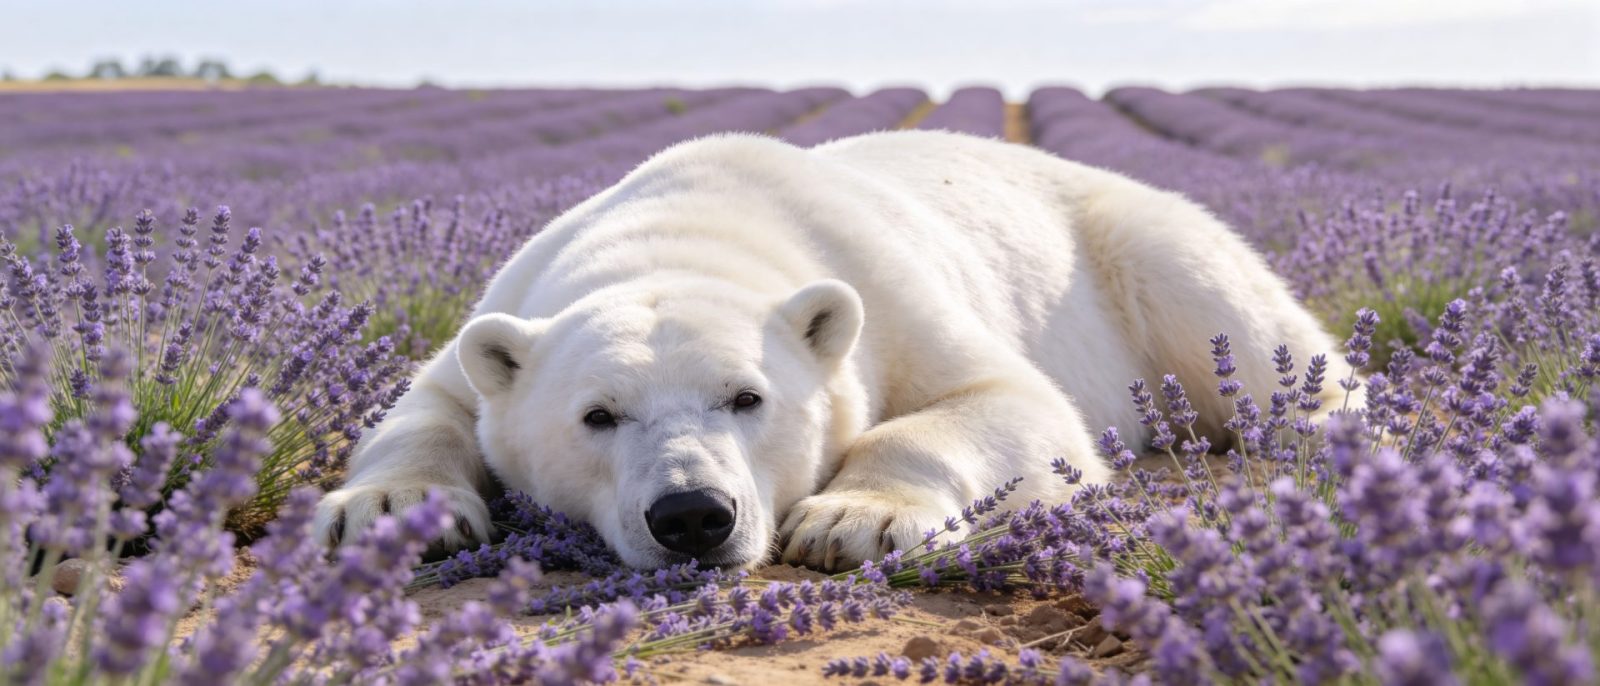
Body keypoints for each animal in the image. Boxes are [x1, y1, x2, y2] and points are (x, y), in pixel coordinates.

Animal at [312, 130, 1356, 572]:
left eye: (747, 397)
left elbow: (1006, 400)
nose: (693, 516)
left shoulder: (885, 290)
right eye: (597, 416)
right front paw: (393, 510)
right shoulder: (507, 307)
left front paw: (854, 520)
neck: (694, 222)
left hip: (1129, 243)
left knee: (1237, 325)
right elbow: (430, 406)